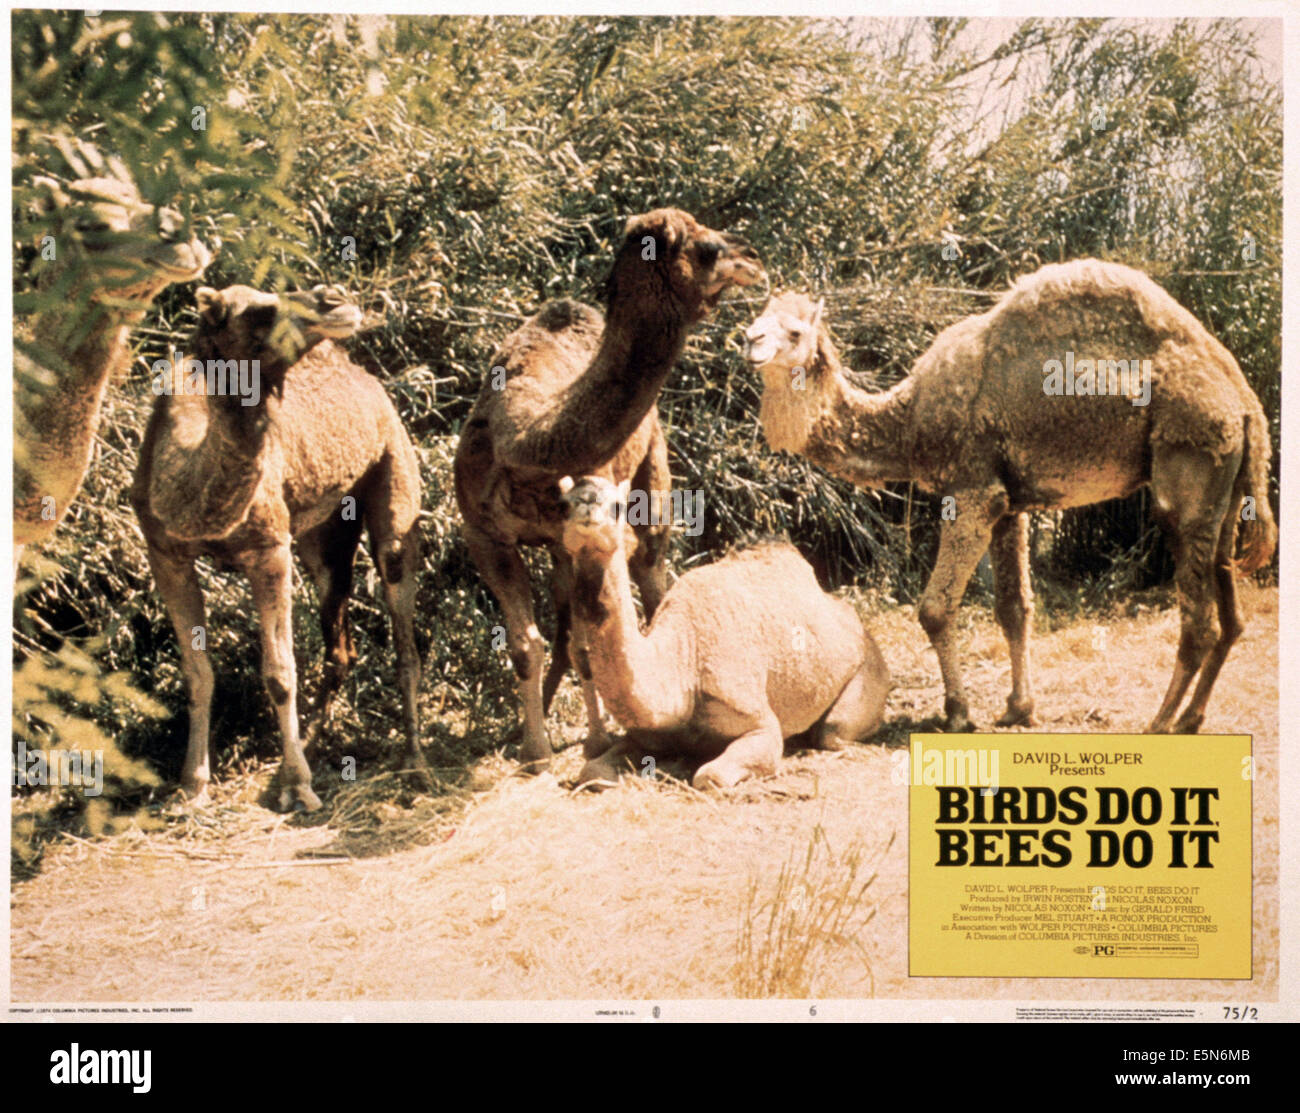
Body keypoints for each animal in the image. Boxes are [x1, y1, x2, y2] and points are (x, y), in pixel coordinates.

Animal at [130, 282, 421, 811]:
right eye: (258, 311)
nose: (335, 299)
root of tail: (369, 382)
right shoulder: (165, 554)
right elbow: (198, 673)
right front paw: (193, 785)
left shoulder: (269, 549)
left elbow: (279, 673)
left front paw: (298, 786)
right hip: (321, 535)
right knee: (340, 641)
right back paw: (313, 740)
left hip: (394, 475)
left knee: (403, 634)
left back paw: (415, 764)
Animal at [454, 206, 764, 774]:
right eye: (706, 247)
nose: (753, 257)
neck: (527, 436)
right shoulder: (485, 534)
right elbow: (525, 644)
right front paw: (534, 751)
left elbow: (583, 640)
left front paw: (594, 742)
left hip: (654, 476)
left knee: (652, 574)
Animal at [553, 473, 889, 785]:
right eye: (563, 505)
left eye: (618, 506)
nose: (586, 502)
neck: (683, 666)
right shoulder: (642, 735)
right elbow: (591, 771)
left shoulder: (760, 724)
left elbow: (710, 776)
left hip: (868, 672)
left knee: (831, 732)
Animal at [748, 262, 1274, 738]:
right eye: (759, 316)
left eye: (794, 331)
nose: (750, 341)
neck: (910, 422)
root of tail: (1246, 403)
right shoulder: (1010, 504)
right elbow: (1014, 609)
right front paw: (1018, 710)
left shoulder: (973, 492)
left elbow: (935, 609)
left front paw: (958, 713)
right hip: (1227, 493)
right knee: (1232, 616)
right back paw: (1190, 718)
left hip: (1188, 470)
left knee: (1200, 620)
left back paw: (1161, 722)